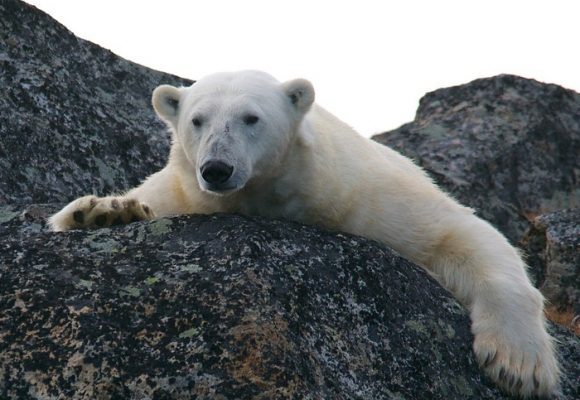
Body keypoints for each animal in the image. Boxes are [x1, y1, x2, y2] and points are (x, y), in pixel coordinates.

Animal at [49, 69, 556, 396]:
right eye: (197, 120)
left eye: (251, 118)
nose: (216, 168)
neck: (271, 196)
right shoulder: (182, 191)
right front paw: (104, 211)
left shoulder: (365, 195)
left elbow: (461, 233)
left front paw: (519, 365)